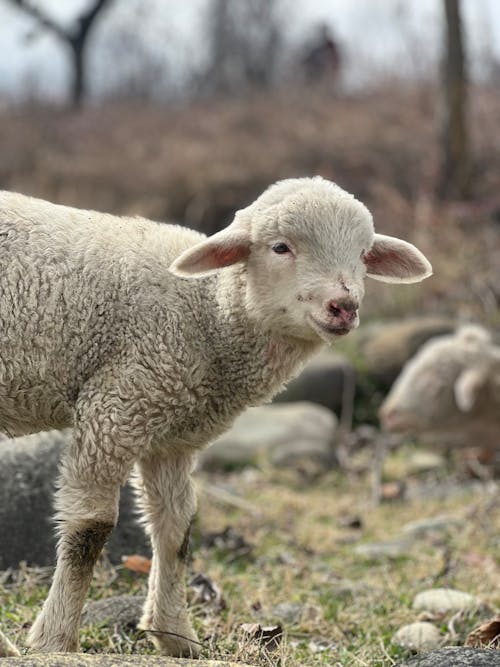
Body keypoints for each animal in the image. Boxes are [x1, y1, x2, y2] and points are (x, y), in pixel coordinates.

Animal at [0, 177, 432, 656]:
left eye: (363, 253)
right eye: (280, 247)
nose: (344, 306)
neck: (208, 311)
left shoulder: (171, 433)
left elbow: (176, 529)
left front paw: (175, 635)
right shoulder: (115, 407)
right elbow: (90, 529)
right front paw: (56, 638)